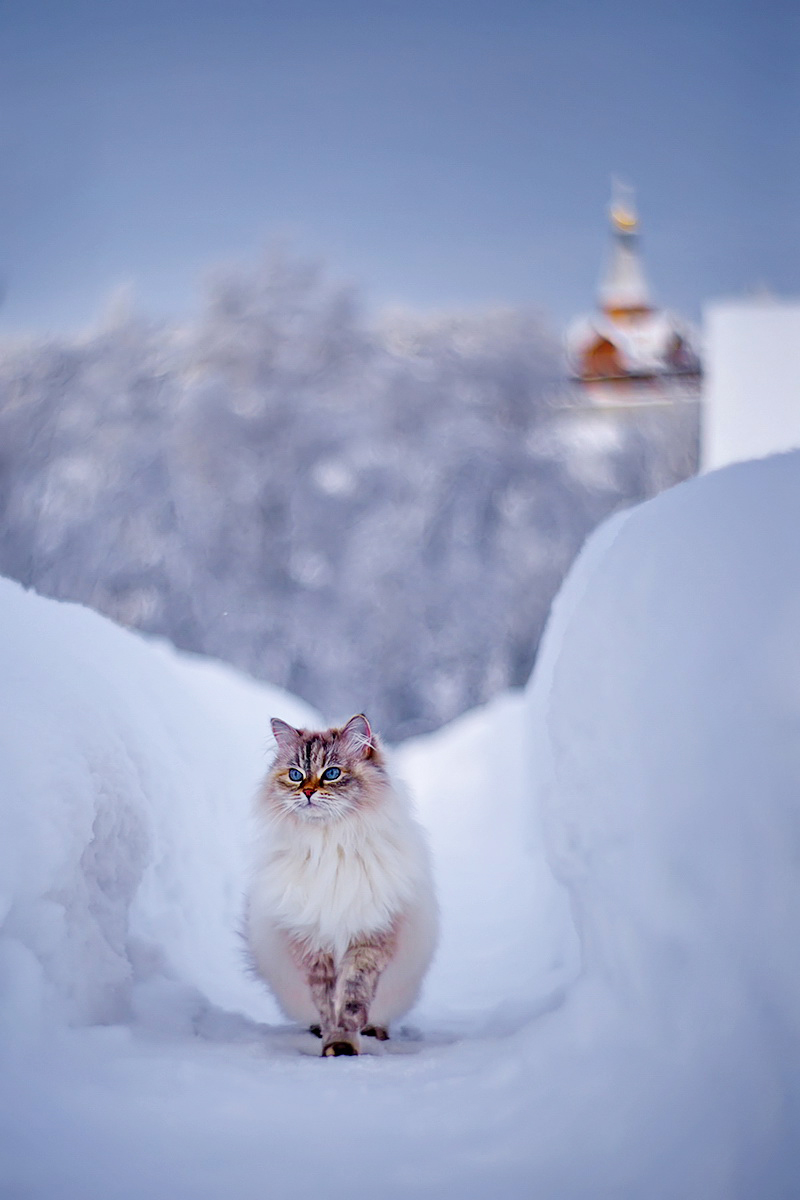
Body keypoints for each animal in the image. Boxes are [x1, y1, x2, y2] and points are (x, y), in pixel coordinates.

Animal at [247, 710, 441, 1060]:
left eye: (332, 773)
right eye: (295, 775)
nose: (307, 792)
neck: (329, 844)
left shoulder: (367, 941)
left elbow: (351, 1000)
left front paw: (345, 1044)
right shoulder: (312, 946)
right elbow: (327, 1004)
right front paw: (331, 1044)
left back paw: (374, 1032)